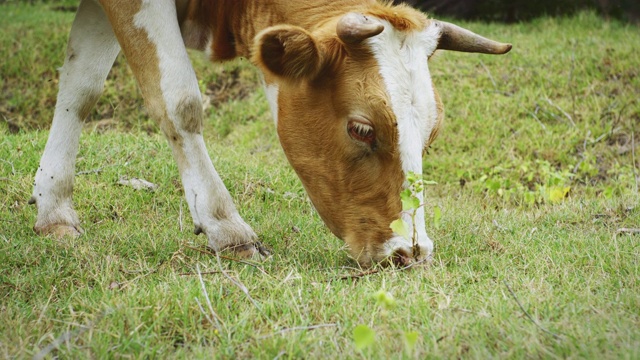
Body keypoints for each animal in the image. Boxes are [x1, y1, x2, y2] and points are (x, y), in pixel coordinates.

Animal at [30, 0, 512, 268]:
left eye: (432, 133)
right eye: (361, 129)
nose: (411, 252)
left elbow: (81, 85)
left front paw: (53, 206)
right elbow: (179, 100)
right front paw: (226, 227)